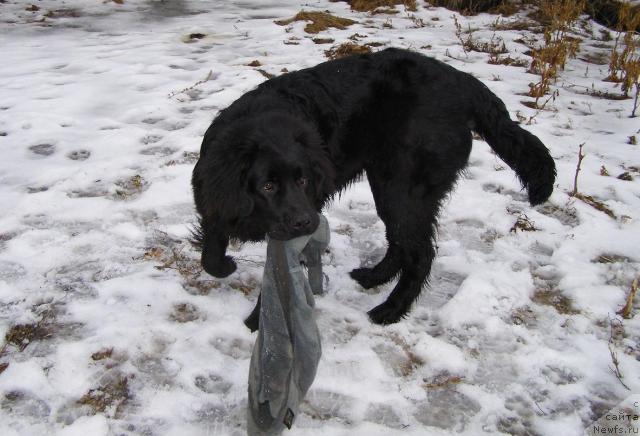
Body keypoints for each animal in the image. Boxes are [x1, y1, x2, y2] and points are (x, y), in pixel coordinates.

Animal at [191, 47, 556, 328]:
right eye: (267, 186)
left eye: (303, 180)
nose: (307, 222)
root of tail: (464, 83)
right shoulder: (213, 200)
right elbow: (210, 253)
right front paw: (225, 265)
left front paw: (258, 322)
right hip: (388, 183)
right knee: (401, 243)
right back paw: (374, 277)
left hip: (403, 188)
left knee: (420, 253)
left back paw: (391, 310)